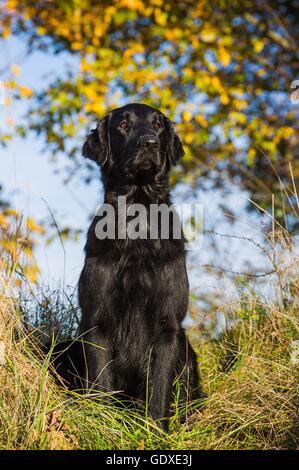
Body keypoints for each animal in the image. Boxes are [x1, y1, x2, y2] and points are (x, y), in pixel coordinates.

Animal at [52, 103, 205, 430]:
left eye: (158, 125)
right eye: (123, 124)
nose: (149, 143)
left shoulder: (167, 326)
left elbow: (158, 390)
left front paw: (155, 432)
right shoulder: (95, 322)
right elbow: (101, 386)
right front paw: (103, 427)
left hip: (186, 349)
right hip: (66, 346)